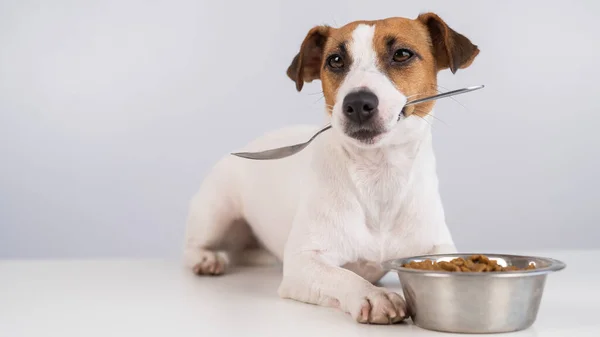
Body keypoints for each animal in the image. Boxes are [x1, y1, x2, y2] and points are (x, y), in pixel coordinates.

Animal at [183, 12, 478, 322]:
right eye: (335, 60)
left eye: (402, 54)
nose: (358, 103)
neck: (378, 175)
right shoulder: (303, 263)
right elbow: (344, 276)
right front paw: (373, 295)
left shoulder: (438, 247)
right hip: (215, 212)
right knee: (191, 246)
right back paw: (207, 258)